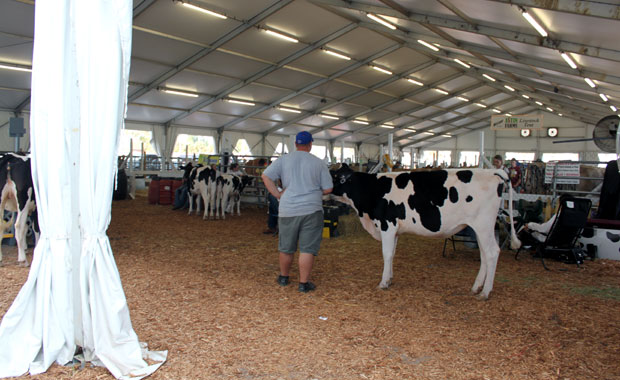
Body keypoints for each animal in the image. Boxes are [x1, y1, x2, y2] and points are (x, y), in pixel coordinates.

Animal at [332, 164, 520, 300]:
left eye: (337, 177)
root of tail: (494, 172)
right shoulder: (396, 230)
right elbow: (392, 253)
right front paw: (390, 278)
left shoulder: (387, 225)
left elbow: (386, 254)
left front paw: (383, 282)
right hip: (479, 228)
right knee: (484, 254)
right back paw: (476, 287)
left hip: (484, 224)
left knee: (492, 253)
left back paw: (485, 292)